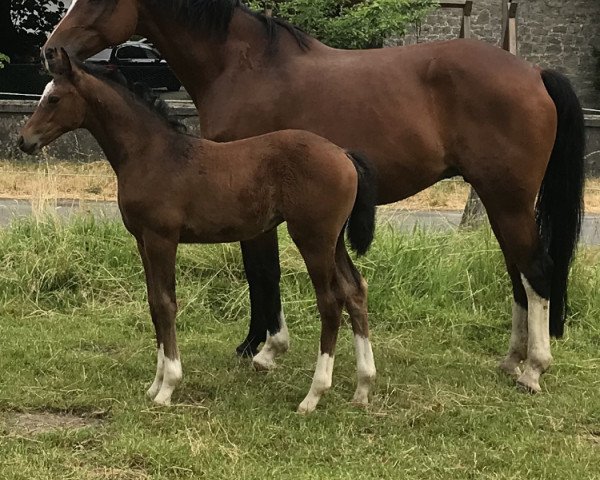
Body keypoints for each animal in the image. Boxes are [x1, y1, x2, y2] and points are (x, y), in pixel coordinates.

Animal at [21, 50, 378, 414]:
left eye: (53, 98)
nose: (24, 140)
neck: (151, 154)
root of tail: (344, 155)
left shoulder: (161, 239)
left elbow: (166, 304)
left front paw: (168, 387)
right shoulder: (142, 241)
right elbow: (153, 303)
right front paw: (154, 385)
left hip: (313, 238)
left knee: (330, 301)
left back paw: (314, 394)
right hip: (333, 241)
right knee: (354, 290)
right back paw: (362, 387)